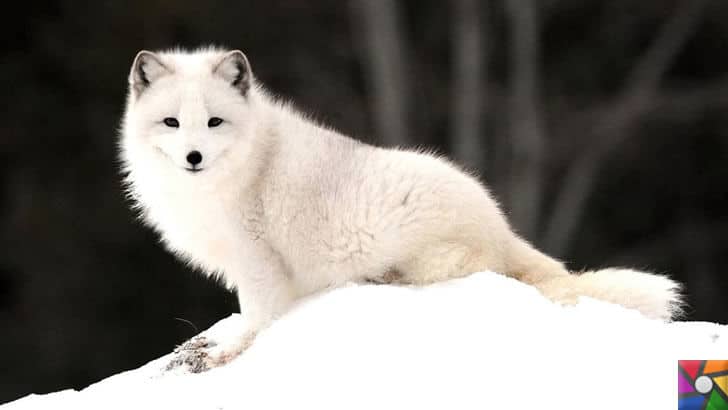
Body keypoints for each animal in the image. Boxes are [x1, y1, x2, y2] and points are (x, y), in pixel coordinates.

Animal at [119, 47, 684, 368]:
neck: (246, 162)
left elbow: (257, 317)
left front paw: (227, 351)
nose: (193, 157)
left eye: (214, 122)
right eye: (172, 123)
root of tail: (500, 223)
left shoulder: (258, 260)